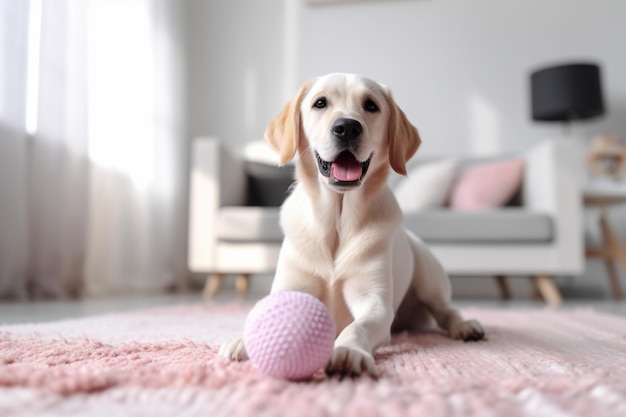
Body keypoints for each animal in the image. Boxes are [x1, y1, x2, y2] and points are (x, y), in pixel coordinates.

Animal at [219, 73, 482, 376]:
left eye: (371, 105)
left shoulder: (375, 301)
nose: (347, 127)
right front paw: (243, 340)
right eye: (320, 103)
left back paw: (466, 326)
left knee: (446, 310)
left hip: (429, 275)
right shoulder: (290, 285)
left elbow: (358, 327)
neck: (337, 220)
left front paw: (347, 351)